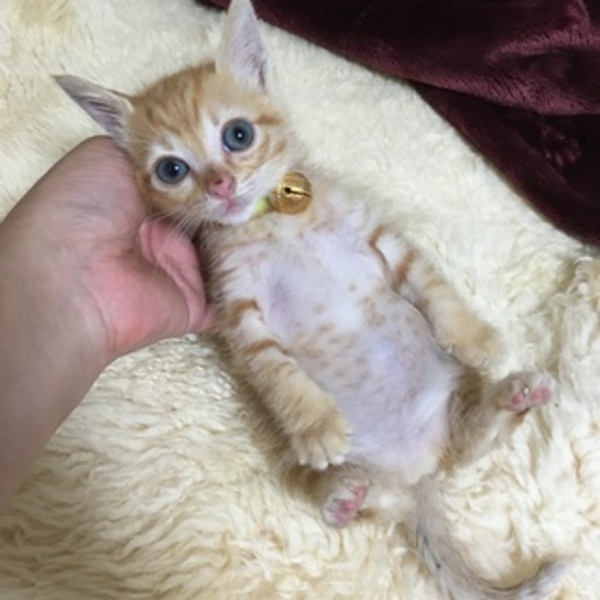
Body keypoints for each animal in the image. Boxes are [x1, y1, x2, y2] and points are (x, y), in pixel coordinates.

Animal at [55, 0, 569, 598]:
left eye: (237, 135)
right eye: (172, 169)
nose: (221, 186)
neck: (274, 221)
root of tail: (417, 470)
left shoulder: (379, 238)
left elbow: (432, 285)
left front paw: (477, 337)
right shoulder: (237, 305)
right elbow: (275, 371)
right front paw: (317, 425)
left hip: (451, 403)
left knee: (468, 447)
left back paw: (514, 395)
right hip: (321, 469)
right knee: (383, 497)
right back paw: (347, 497)